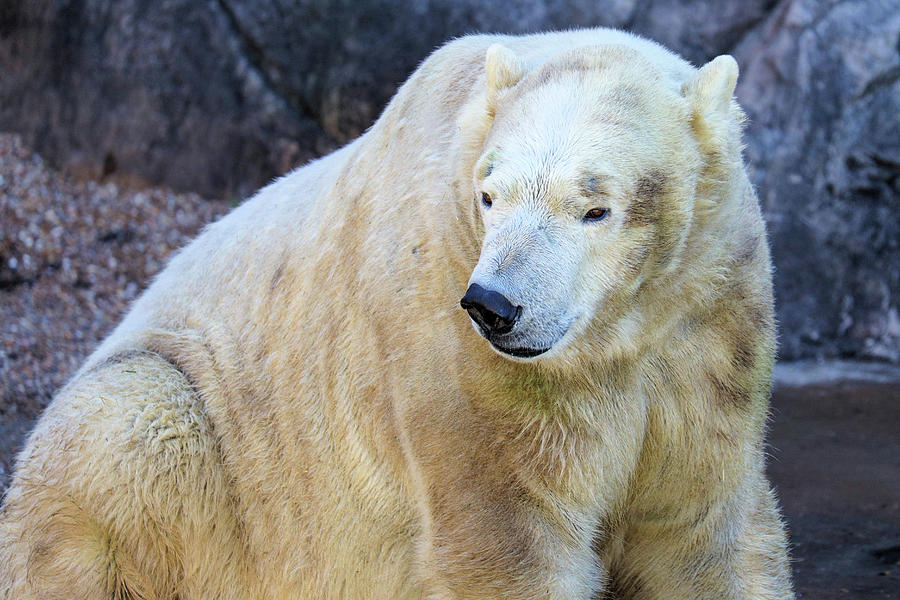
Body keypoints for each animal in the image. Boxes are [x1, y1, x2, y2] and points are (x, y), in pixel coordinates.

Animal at [0, 28, 792, 600]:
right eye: (489, 196)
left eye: (595, 208)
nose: (495, 307)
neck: (614, 333)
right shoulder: (451, 327)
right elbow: (507, 534)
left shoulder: (704, 323)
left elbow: (699, 529)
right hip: (199, 454)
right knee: (132, 424)